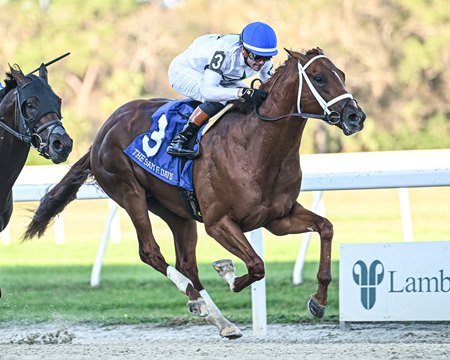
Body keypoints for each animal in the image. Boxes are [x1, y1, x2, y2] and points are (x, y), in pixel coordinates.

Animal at [24, 49, 366, 338]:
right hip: (128, 191)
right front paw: (227, 272)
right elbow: (256, 266)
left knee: (187, 263)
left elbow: (325, 228)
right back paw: (197, 300)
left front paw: (318, 300)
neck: (256, 147)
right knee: (151, 252)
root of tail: (103, 131)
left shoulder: (277, 218)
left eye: (341, 74)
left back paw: (221, 320)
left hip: (176, 211)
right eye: (319, 78)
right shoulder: (219, 223)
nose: (355, 117)